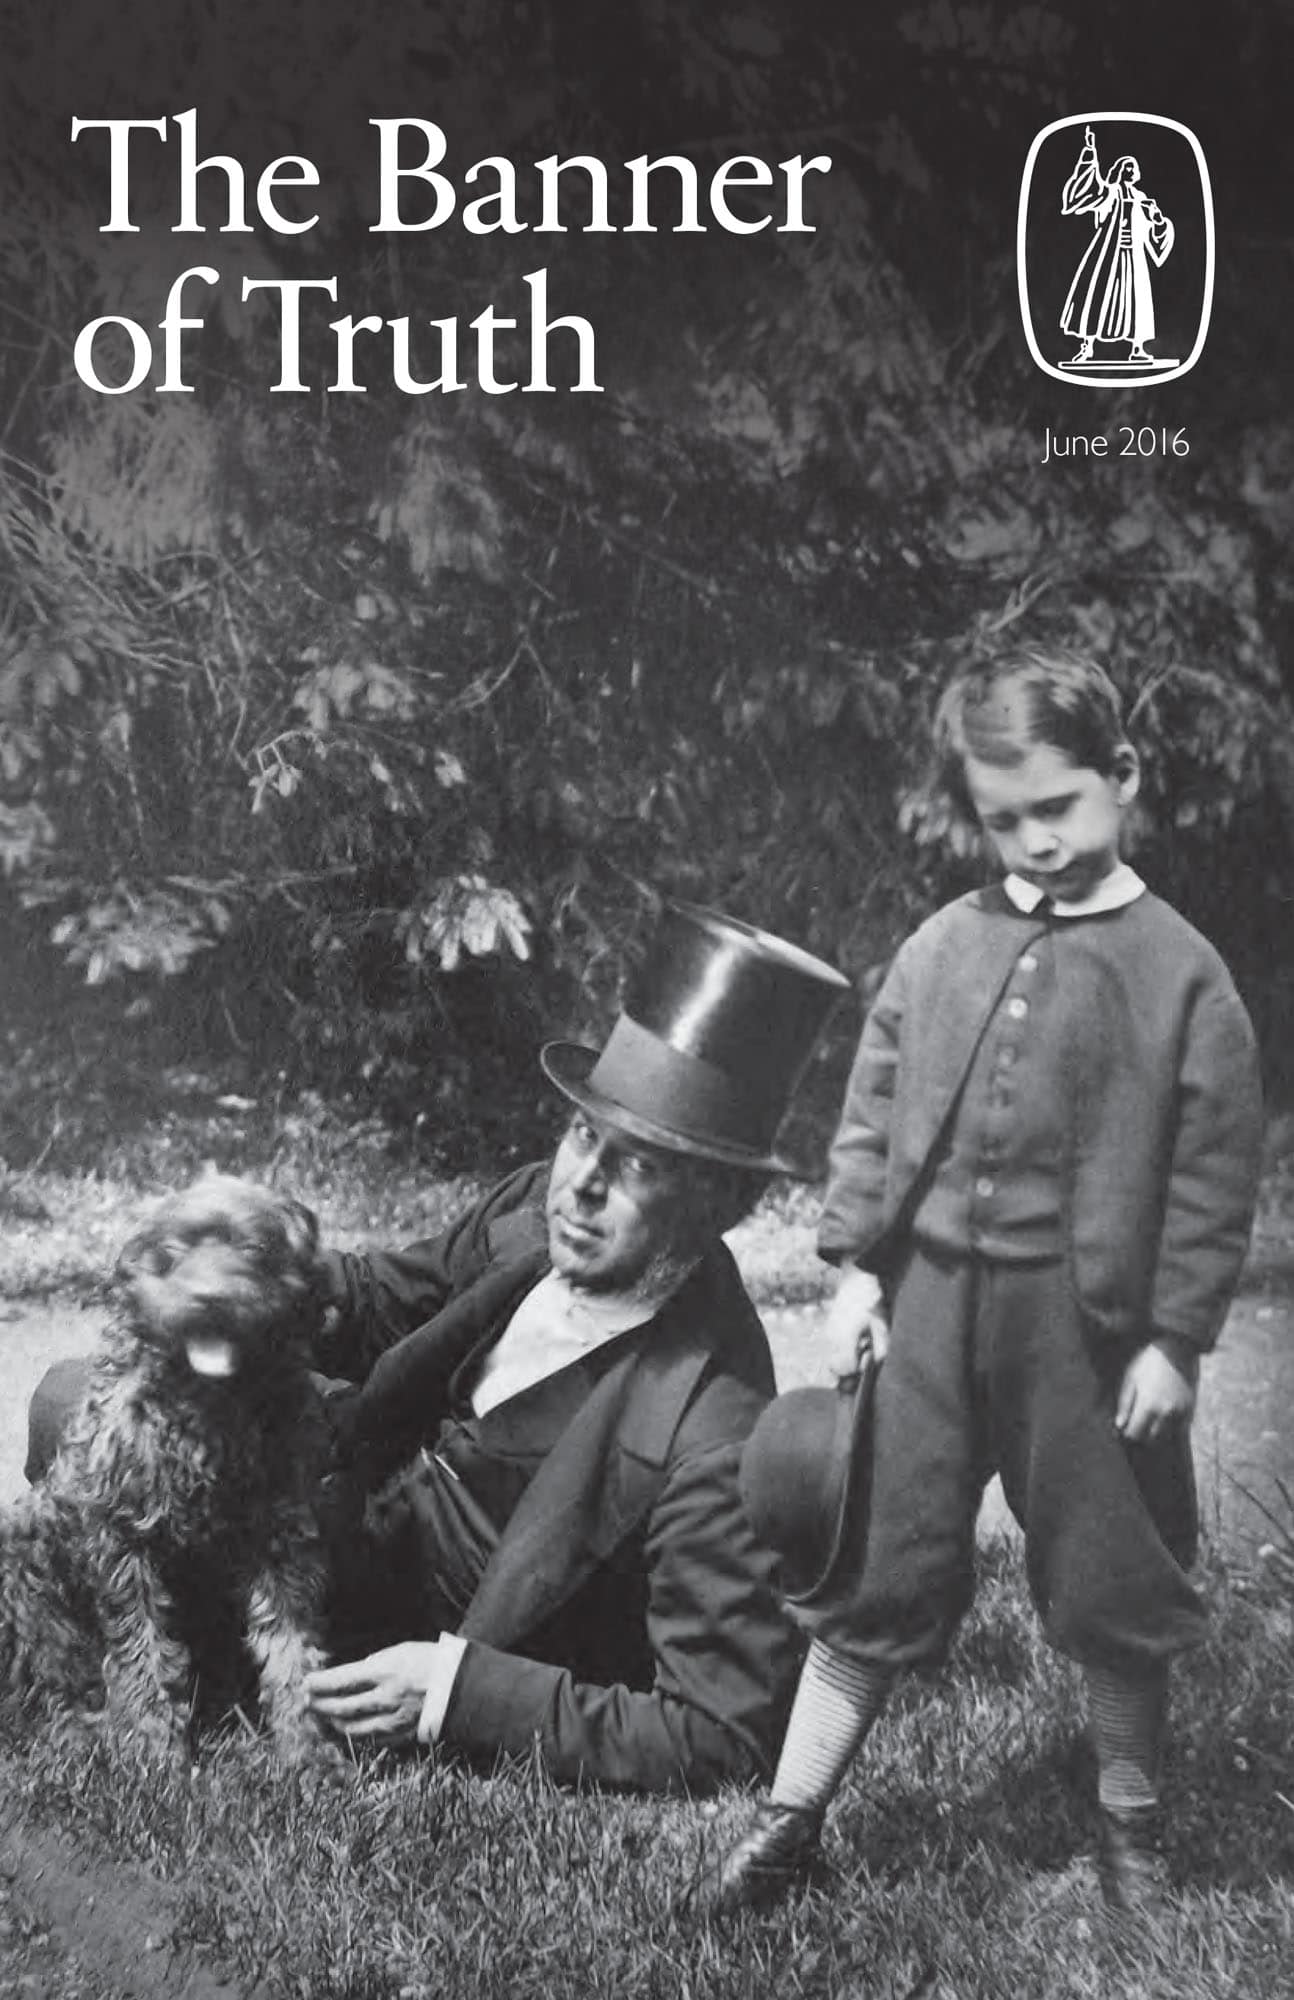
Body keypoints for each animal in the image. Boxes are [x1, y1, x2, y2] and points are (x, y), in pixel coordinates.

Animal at [0, 1174, 341, 1767]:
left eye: (257, 1248)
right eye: (175, 1249)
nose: (209, 1298)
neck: (208, 1410)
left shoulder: (282, 1540)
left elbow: (292, 1650)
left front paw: (307, 1747)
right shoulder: (124, 1540)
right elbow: (141, 1651)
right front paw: (151, 1747)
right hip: (27, 1568)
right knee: (52, 1682)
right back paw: (79, 1731)